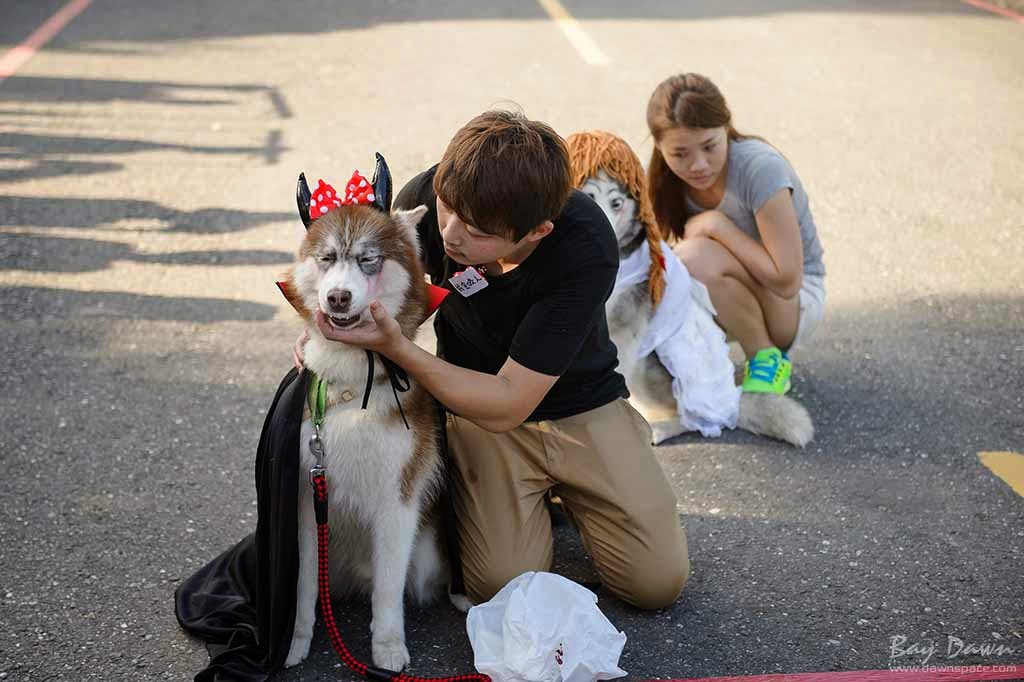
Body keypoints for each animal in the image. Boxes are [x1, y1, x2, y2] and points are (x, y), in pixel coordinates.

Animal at [276, 155, 468, 667]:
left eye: (368, 259)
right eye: (326, 259)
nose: (338, 298)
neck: (350, 387)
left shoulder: (396, 503)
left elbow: (387, 591)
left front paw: (387, 649)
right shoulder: (306, 502)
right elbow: (302, 588)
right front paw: (294, 644)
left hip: (426, 554)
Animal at [565, 132, 811, 446]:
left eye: (616, 203)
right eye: (589, 198)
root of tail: (731, 402)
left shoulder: (623, 332)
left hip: (652, 369)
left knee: (689, 418)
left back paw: (657, 428)